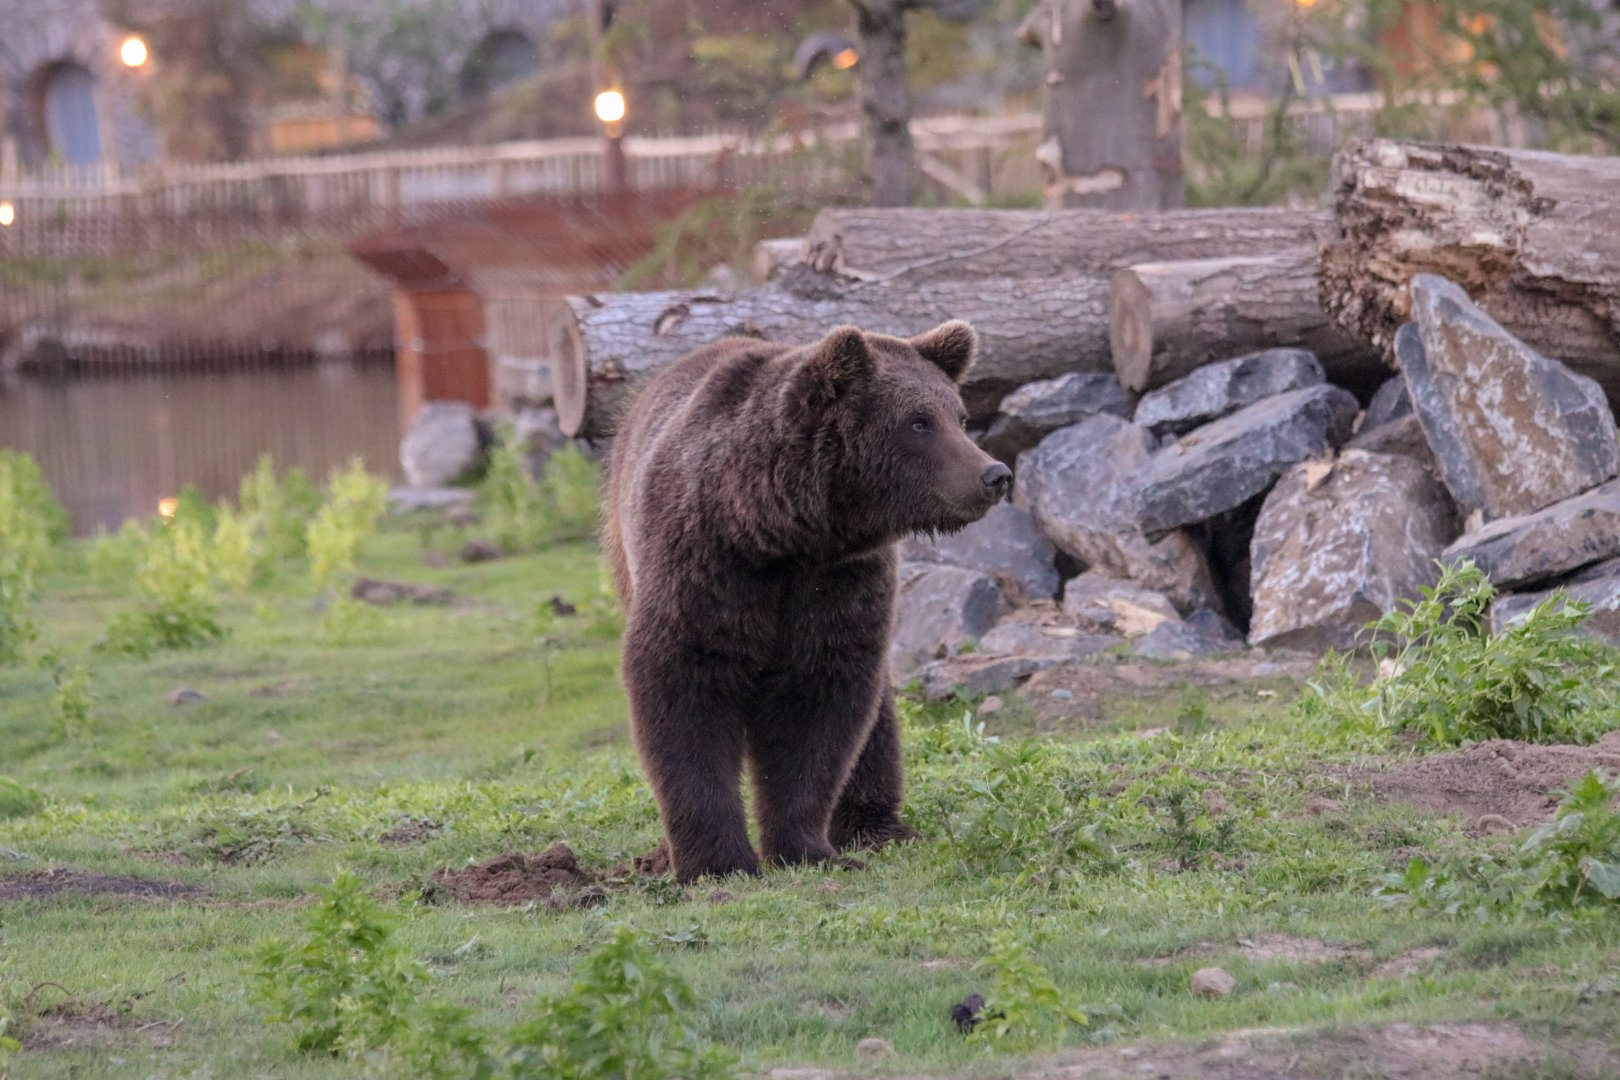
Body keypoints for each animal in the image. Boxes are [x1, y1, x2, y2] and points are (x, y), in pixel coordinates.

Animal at [605, 320, 1012, 884]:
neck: (774, 531)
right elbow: (686, 688)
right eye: (918, 422)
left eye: (960, 416)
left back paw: (878, 827)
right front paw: (717, 863)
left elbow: (819, 702)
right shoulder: (704, 565)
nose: (994, 475)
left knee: (876, 722)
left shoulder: (837, 581)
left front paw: (804, 848)